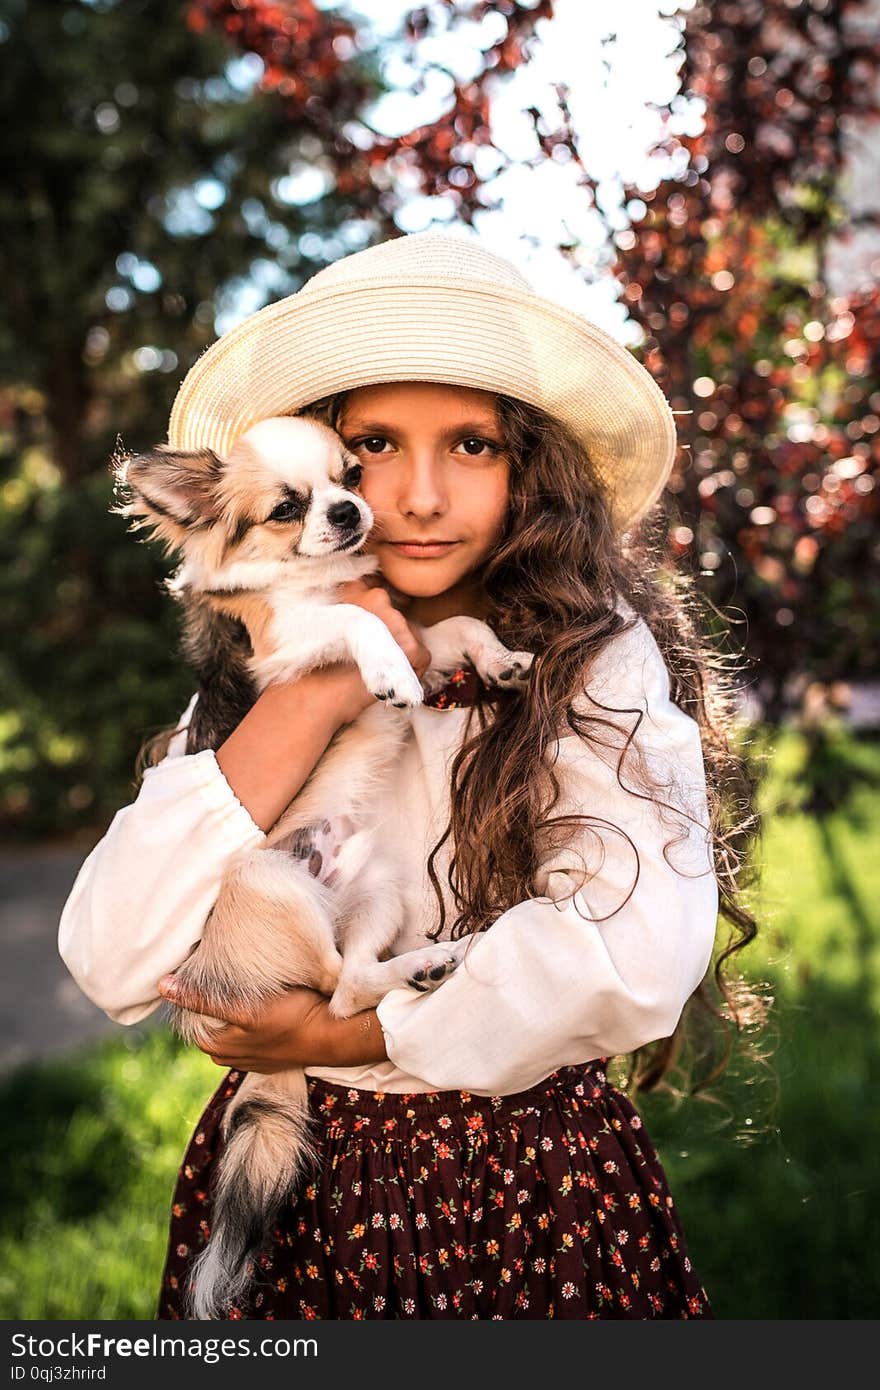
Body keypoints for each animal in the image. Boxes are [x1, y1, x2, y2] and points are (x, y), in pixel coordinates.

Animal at [113, 408, 531, 1312]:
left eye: (353, 475)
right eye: (285, 508)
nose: (348, 513)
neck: (322, 575)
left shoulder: (427, 634)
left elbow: (455, 627)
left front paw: (500, 658)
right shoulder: (285, 646)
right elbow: (360, 622)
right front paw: (384, 671)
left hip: (382, 890)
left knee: (355, 978)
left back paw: (427, 965)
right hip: (274, 882)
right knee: (339, 991)